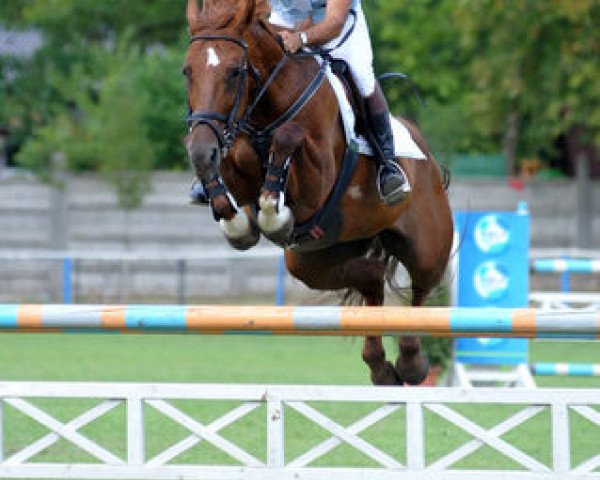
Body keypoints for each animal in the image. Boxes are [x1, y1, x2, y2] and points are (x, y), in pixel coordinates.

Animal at [185, 0, 452, 384]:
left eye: (236, 72)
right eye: (187, 71)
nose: (200, 149)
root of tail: (426, 154)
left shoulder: (317, 183)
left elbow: (288, 136)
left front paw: (274, 214)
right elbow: (235, 168)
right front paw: (239, 223)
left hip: (426, 246)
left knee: (420, 292)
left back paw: (411, 363)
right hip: (315, 259)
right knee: (371, 281)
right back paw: (380, 367)